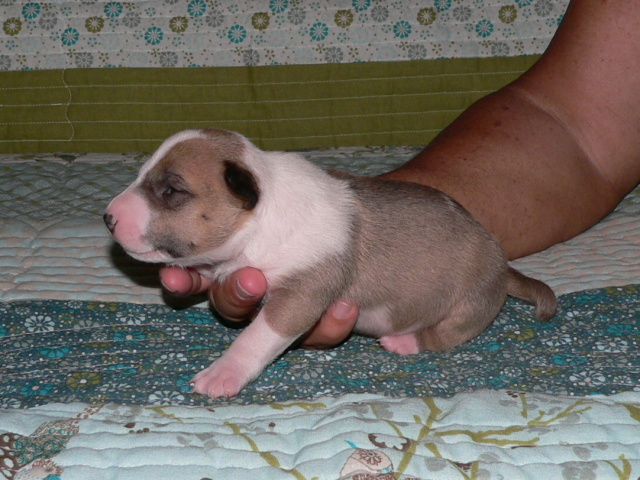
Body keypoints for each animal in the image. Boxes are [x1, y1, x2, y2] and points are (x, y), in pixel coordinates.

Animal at [104, 128, 557, 399]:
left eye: (171, 190)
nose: (108, 218)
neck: (261, 217)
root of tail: (504, 269)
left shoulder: (300, 295)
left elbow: (255, 337)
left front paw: (223, 374)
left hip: (468, 306)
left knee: (446, 336)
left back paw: (406, 342)